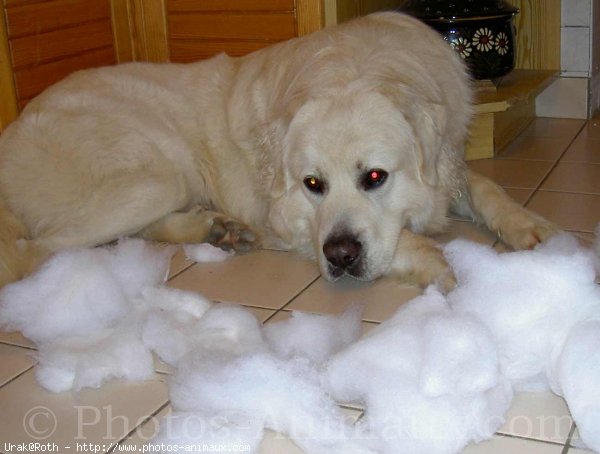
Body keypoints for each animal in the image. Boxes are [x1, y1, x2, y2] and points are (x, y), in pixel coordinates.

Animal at [0, 15, 552, 290]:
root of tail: (13, 130)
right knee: (33, 253)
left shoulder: (449, 163)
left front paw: (531, 227)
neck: (357, 67)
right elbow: (404, 241)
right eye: (312, 185)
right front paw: (438, 264)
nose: (341, 257)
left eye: (375, 177)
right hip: (153, 177)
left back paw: (217, 229)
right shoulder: (289, 218)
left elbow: (484, 185)